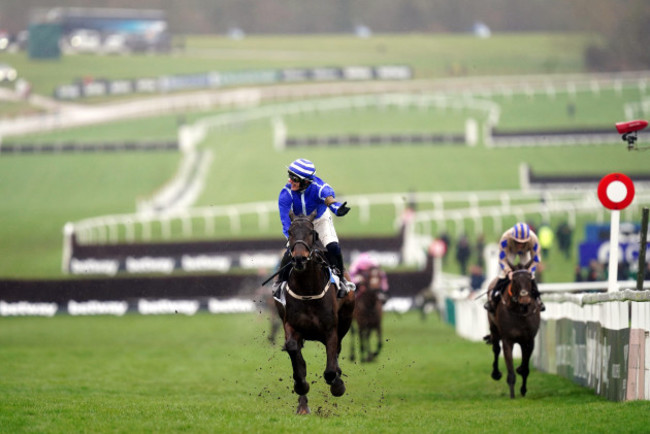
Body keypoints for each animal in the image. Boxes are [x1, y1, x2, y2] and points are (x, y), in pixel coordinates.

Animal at [274, 212, 354, 416]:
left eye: (311, 232)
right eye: (290, 232)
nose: (299, 259)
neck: (307, 289)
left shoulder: (330, 330)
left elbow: (331, 369)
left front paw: (337, 385)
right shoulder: (291, 325)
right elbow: (296, 357)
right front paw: (301, 386)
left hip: (345, 320)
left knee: (337, 351)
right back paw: (302, 406)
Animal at [484, 262, 540, 398]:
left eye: (530, 279)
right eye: (514, 280)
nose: (524, 299)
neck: (520, 312)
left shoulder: (529, 341)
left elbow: (525, 368)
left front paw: (523, 389)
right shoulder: (508, 340)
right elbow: (510, 369)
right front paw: (512, 394)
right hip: (494, 328)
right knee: (496, 349)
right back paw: (496, 373)